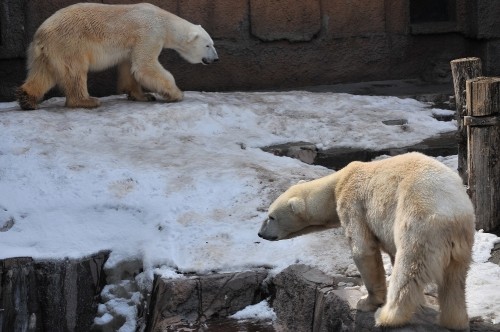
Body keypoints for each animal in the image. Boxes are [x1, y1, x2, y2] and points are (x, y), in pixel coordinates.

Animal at [15, 2, 218, 110]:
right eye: (208, 45)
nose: (216, 59)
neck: (164, 21)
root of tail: (41, 33)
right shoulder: (149, 33)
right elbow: (145, 65)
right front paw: (176, 93)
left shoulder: (132, 45)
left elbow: (130, 68)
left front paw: (143, 96)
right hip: (70, 43)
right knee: (74, 72)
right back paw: (87, 100)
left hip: (48, 52)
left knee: (44, 74)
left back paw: (27, 99)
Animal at [260, 153, 474, 330]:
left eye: (271, 217)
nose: (261, 234)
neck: (338, 183)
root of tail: (453, 213)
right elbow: (391, 252)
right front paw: (421, 303)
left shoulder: (353, 203)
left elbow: (363, 249)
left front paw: (366, 302)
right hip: (461, 242)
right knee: (454, 279)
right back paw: (455, 321)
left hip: (418, 223)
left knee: (408, 270)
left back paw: (387, 316)